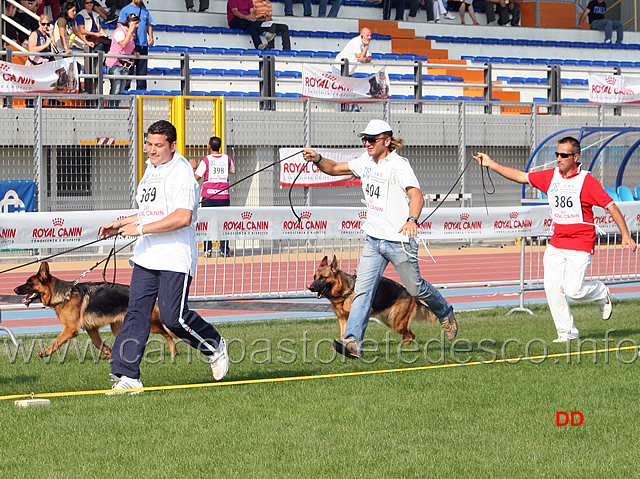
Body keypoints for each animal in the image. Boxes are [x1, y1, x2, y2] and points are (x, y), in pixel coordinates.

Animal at [13, 262, 178, 360]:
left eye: (29, 283)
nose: (14, 289)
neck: (64, 294)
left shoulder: (70, 329)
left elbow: (56, 341)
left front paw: (45, 352)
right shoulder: (91, 329)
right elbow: (98, 343)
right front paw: (109, 354)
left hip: (151, 324)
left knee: (168, 334)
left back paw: (173, 352)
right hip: (117, 327)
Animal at [308, 255, 438, 344]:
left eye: (323, 278)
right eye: (314, 277)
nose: (310, 287)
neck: (346, 291)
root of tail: (411, 295)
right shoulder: (342, 319)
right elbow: (343, 334)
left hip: (396, 323)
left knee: (411, 335)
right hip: (390, 320)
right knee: (409, 334)